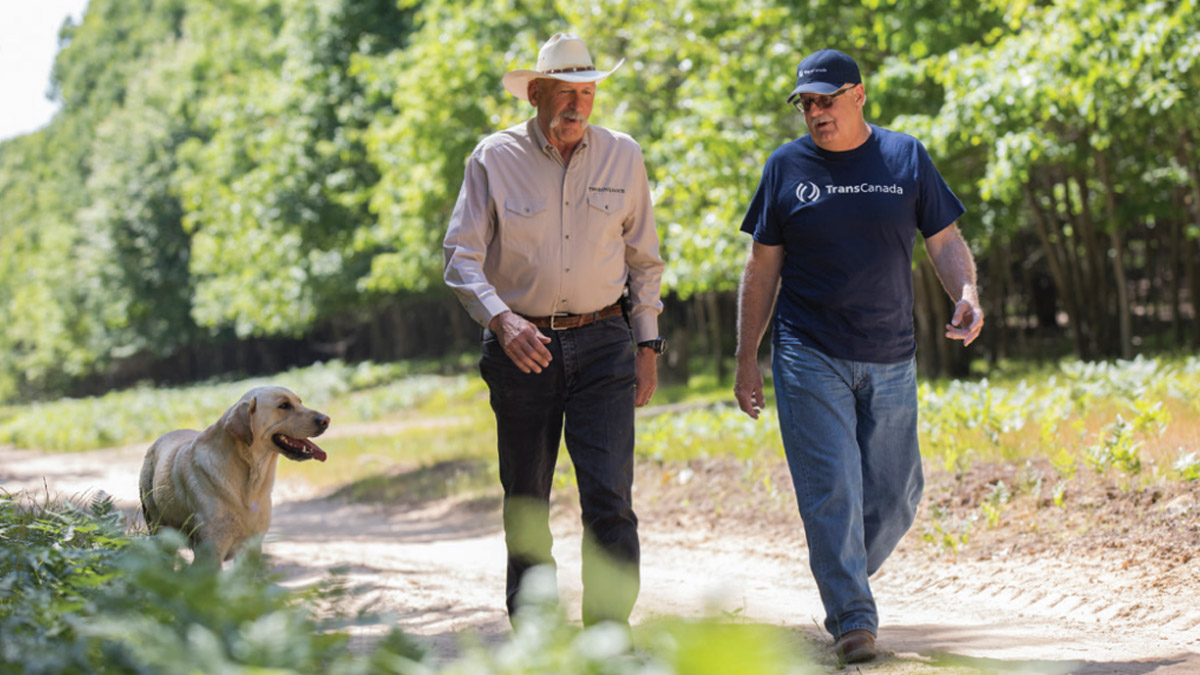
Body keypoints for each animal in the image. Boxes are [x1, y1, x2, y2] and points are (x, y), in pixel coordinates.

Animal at [138, 384, 331, 557]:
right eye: (284, 405)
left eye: (300, 402)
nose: (326, 420)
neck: (251, 481)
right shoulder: (210, 552)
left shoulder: (252, 549)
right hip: (159, 532)